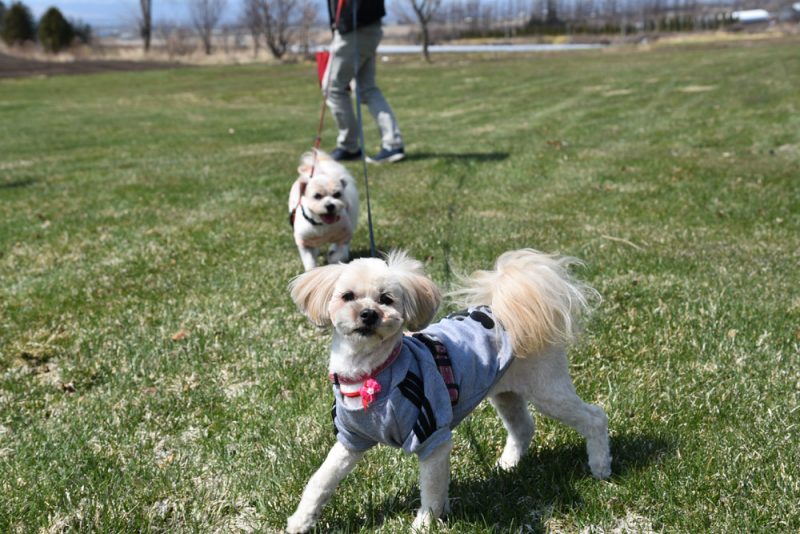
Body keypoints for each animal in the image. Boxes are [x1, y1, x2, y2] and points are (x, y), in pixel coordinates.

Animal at [288, 252, 612, 534]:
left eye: (386, 299)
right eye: (348, 296)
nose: (369, 314)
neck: (372, 373)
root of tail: (507, 310)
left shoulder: (432, 434)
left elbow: (431, 489)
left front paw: (424, 524)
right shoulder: (351, 439)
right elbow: (321, 479)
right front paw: (300, 521)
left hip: (547, 389)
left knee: (595, 417)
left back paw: (600, 467)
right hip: (504, 392)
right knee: (523, 426)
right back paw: (507, 465)